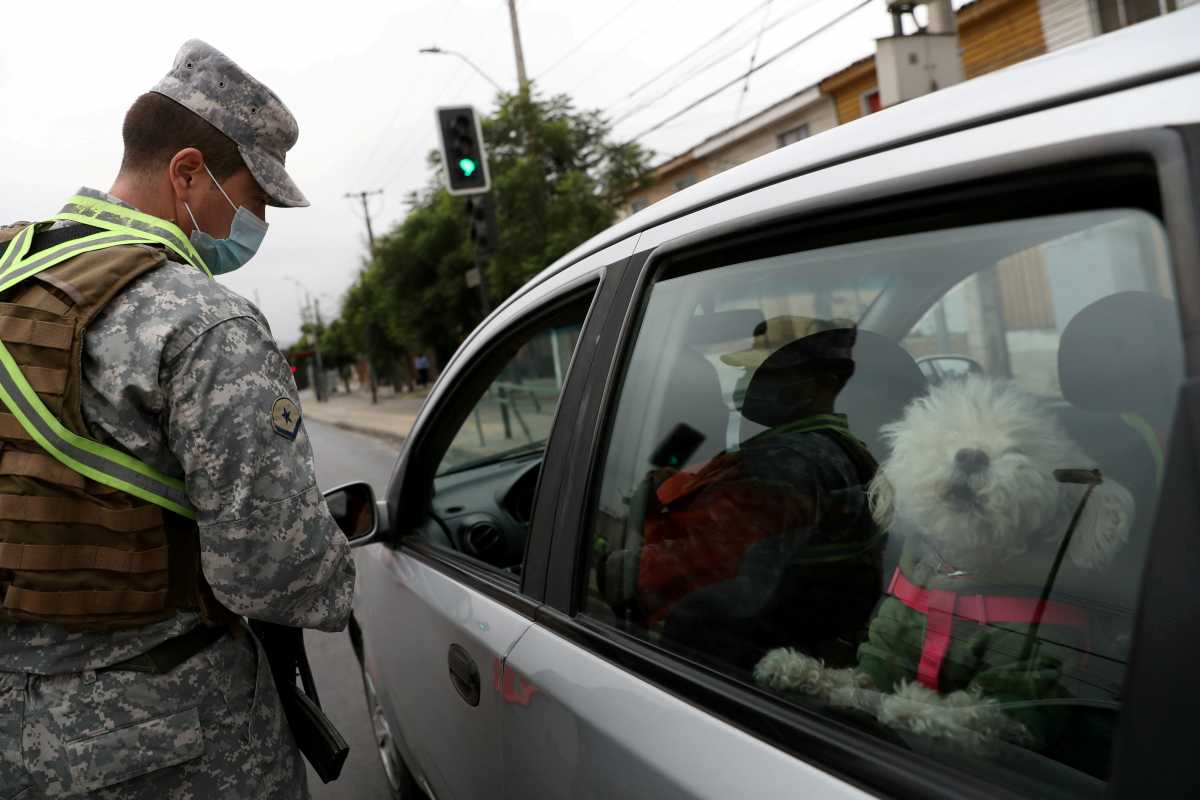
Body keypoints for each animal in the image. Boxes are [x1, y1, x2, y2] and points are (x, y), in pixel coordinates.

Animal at [753, 376, 1128, 753]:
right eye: (949, 433)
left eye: (1021, 448)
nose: (971, 456)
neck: (955, 575)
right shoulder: (886, 650)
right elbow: (853, 679)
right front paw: (795, 667)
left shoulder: (1023, 692)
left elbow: (969, 711)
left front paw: (912, 705)